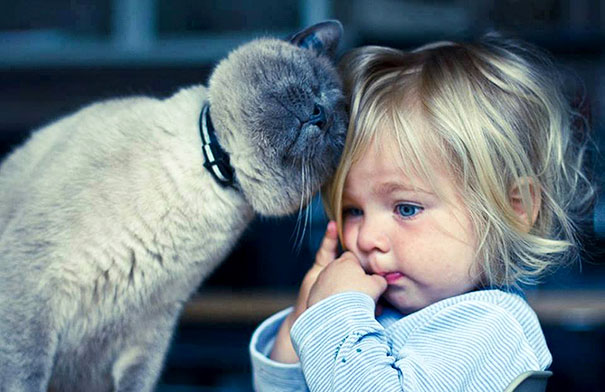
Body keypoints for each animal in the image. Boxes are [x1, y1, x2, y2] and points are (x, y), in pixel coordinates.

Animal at [0, 20, 346, 392]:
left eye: (336, 133)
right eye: (313, 83)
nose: (320, 114)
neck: (209, 175)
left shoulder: (152, 327)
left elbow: (138, 382)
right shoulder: (32, 290)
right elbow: (24, 376)